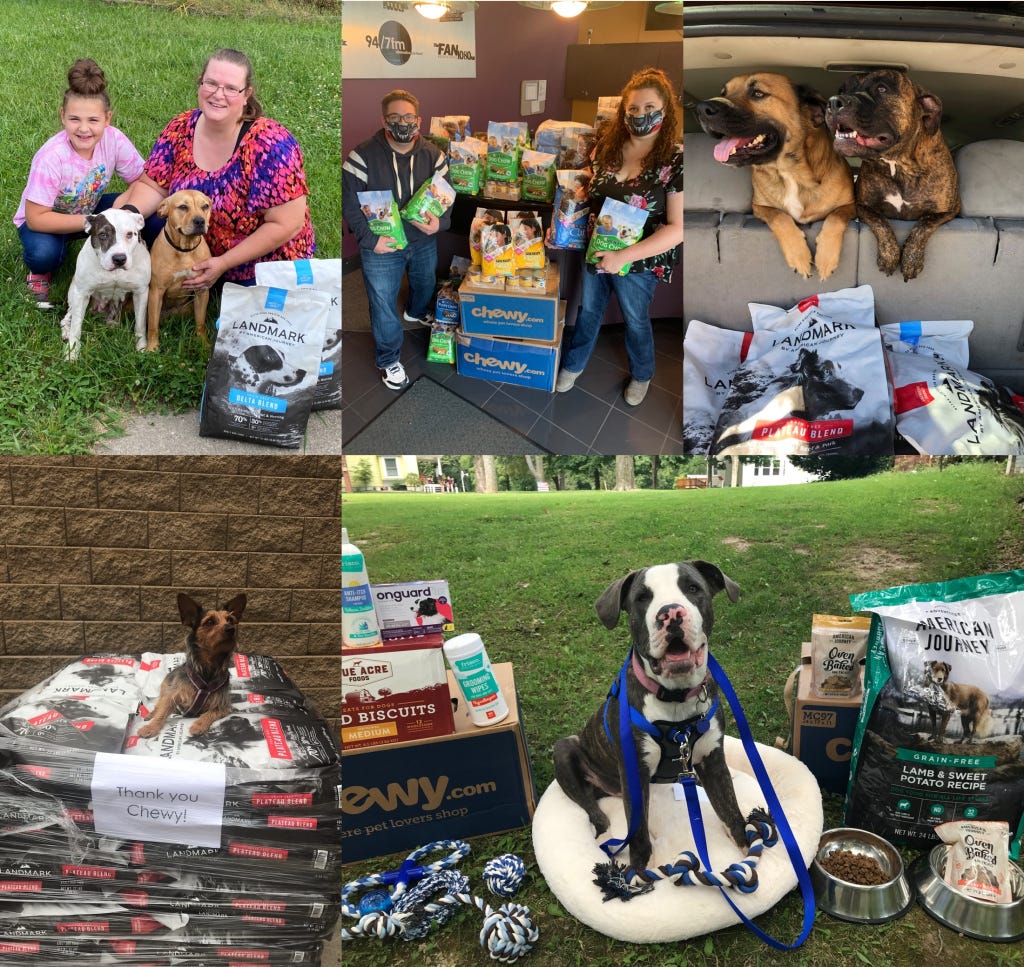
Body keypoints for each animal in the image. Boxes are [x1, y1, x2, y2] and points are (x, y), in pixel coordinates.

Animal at [61, 209, 150, 360]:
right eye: (103, 234)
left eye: (129, 234)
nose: (119, 259)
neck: (115, 272)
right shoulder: (81, 294)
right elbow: (76, 327)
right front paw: (72, 352)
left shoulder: (141, 293)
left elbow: (140, 324)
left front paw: (141, 348)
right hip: (73, 294)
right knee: (68, 317)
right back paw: (66, 330)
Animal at [137, 590, 246, 741]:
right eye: (210, 621)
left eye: (230, 620)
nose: (231, 629)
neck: (207, 669)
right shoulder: (172, 696)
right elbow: (162, 711)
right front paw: (151, 727)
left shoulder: (223, 706)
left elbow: (208, 714)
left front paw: (199, 725)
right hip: (166, 688)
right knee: (159, 704)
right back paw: (151, 714)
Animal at [145, 188, 212, 350]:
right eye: (183, 207)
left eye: (205, 206)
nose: (200, 221)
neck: (184, 249)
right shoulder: (156, 292)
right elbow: (153, 326)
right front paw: (152, 348)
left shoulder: (201, 291)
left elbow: (200, 322)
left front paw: (203, 343)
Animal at [552, 557, 753, 868]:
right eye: (642, 598)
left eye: (693, 588)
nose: (671, 612)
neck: (676, 696)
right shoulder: (635, 772)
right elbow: (637, 833)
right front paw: (638, 870)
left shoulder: (713, 758)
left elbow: (731, 809)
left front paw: (751, 852)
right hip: (565, 749)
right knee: (590, 806)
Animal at [696, 72, 856, 280]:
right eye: (723, 93)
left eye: (758, 93)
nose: (701, 109)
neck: (787, 171)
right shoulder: (760, 207)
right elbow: (779, 217)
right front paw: (799, 256)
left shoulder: (850, 206)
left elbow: (836, 217)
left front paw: (826, 259)